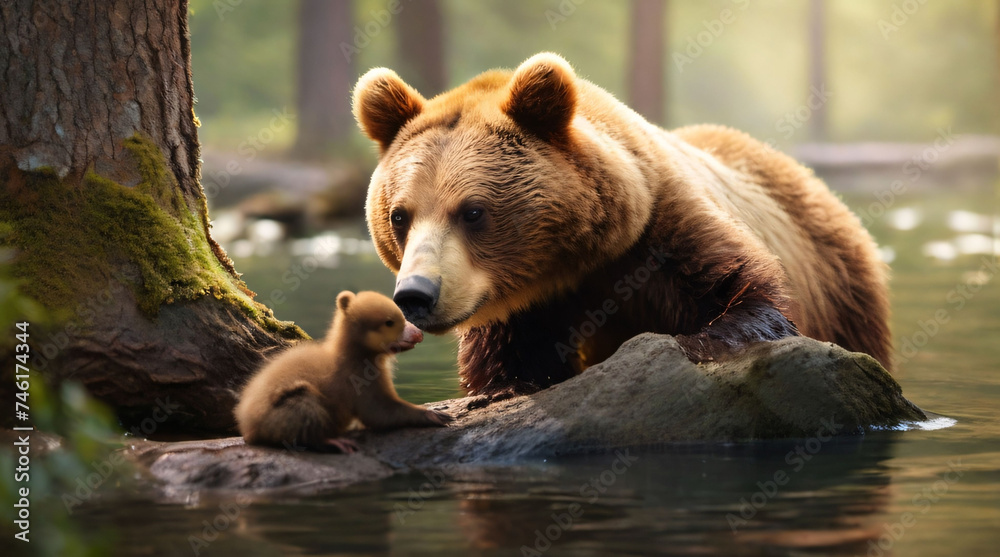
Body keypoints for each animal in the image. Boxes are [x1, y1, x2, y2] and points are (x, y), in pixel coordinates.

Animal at [235, 290, 453, 451]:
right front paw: (433, 415)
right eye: (390, 322)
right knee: (304, 407)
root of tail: (249, 427)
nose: (417, 334)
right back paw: (332, 441)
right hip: (284, 408)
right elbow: (379, 412)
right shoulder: (359, 379)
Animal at [351, 52, 891, 397]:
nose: (416, 294)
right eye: (399, 215)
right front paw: (505, 387)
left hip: (841, 284)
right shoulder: (523, 308)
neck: (575, 262)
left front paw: (686, 343)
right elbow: (504, 363)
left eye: (472, 211)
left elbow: (745, 294)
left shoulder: (663, 233)